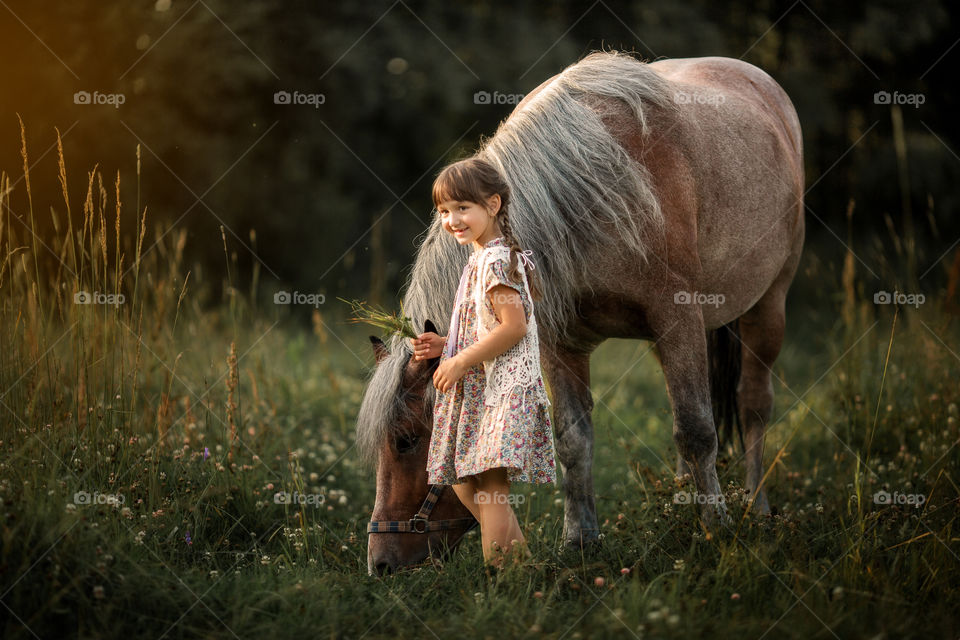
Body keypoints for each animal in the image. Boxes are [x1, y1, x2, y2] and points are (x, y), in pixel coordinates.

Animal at [354, 47, 804, 572]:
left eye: (406, 440)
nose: (380, 563)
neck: (591, 192)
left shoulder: (678, 320)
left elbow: (696, 431)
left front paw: (717, 530)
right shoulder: (560, 341)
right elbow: (573, 440)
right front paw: (580, 540)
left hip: (767, 306)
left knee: (753, 403)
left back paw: (757, 505)